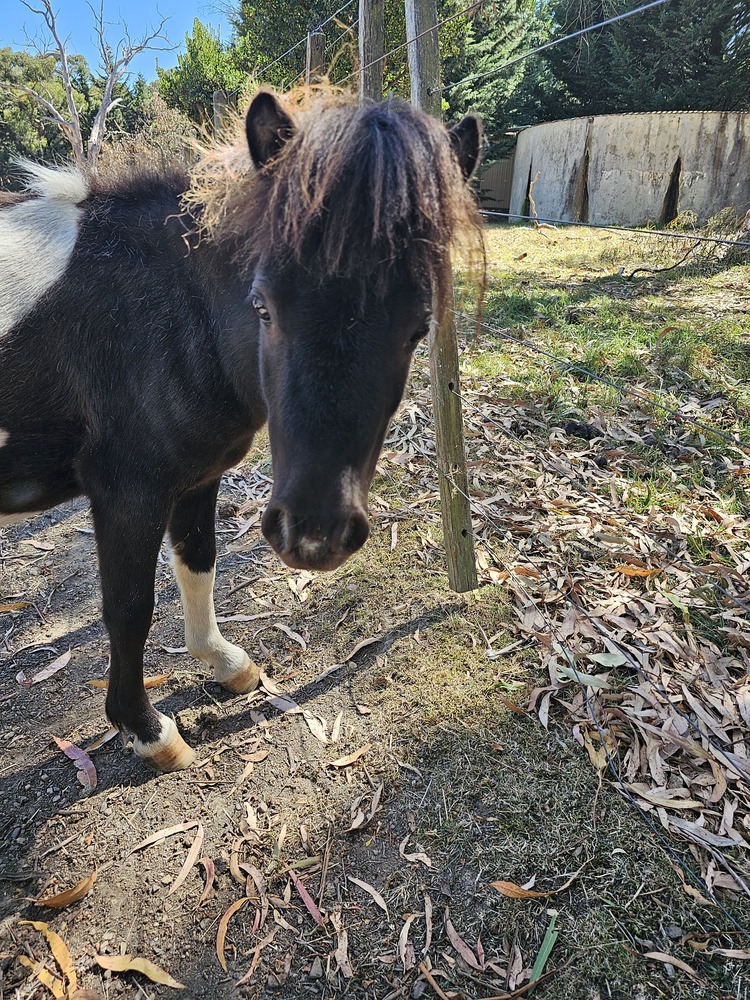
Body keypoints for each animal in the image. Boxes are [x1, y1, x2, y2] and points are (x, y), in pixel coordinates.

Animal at [0, 88, 482, 771]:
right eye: (263, 306)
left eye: (420, 326)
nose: (314, 535)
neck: (170, 311)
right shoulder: (126, 492)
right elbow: (129, 609)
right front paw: (147, 731)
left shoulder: (196, 478)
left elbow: (198, 563)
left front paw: (225, 664)